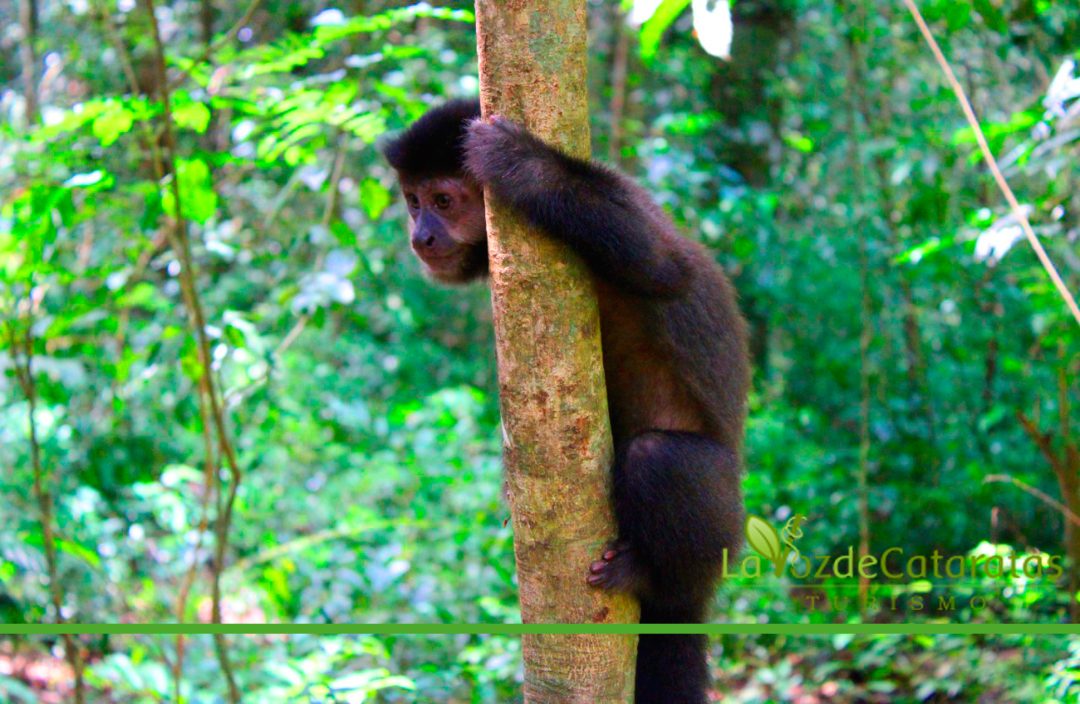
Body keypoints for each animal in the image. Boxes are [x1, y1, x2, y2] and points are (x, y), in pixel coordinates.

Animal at [382, 100, 751, 704]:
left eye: (442, 201)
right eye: (412, 202)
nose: (421, 237)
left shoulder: (624, 194)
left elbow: (663, 266)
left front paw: (519, 163)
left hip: (726, 529)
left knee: (660, 459)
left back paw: (657, 580)